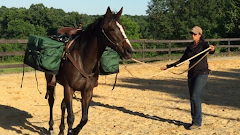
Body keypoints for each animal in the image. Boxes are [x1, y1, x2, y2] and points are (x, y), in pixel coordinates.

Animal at [44, 6, 134, 135]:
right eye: (111, 28)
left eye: (124, 28)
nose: (129, 51)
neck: (83, 60)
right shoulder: (69, 88)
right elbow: (71, 117)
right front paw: (70, 130)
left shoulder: (87, 91)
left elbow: (84, 118)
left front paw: (72, 131)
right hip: (50, 81)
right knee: (51, 101)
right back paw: (51, 127)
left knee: (62, 105)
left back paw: (61, 130)